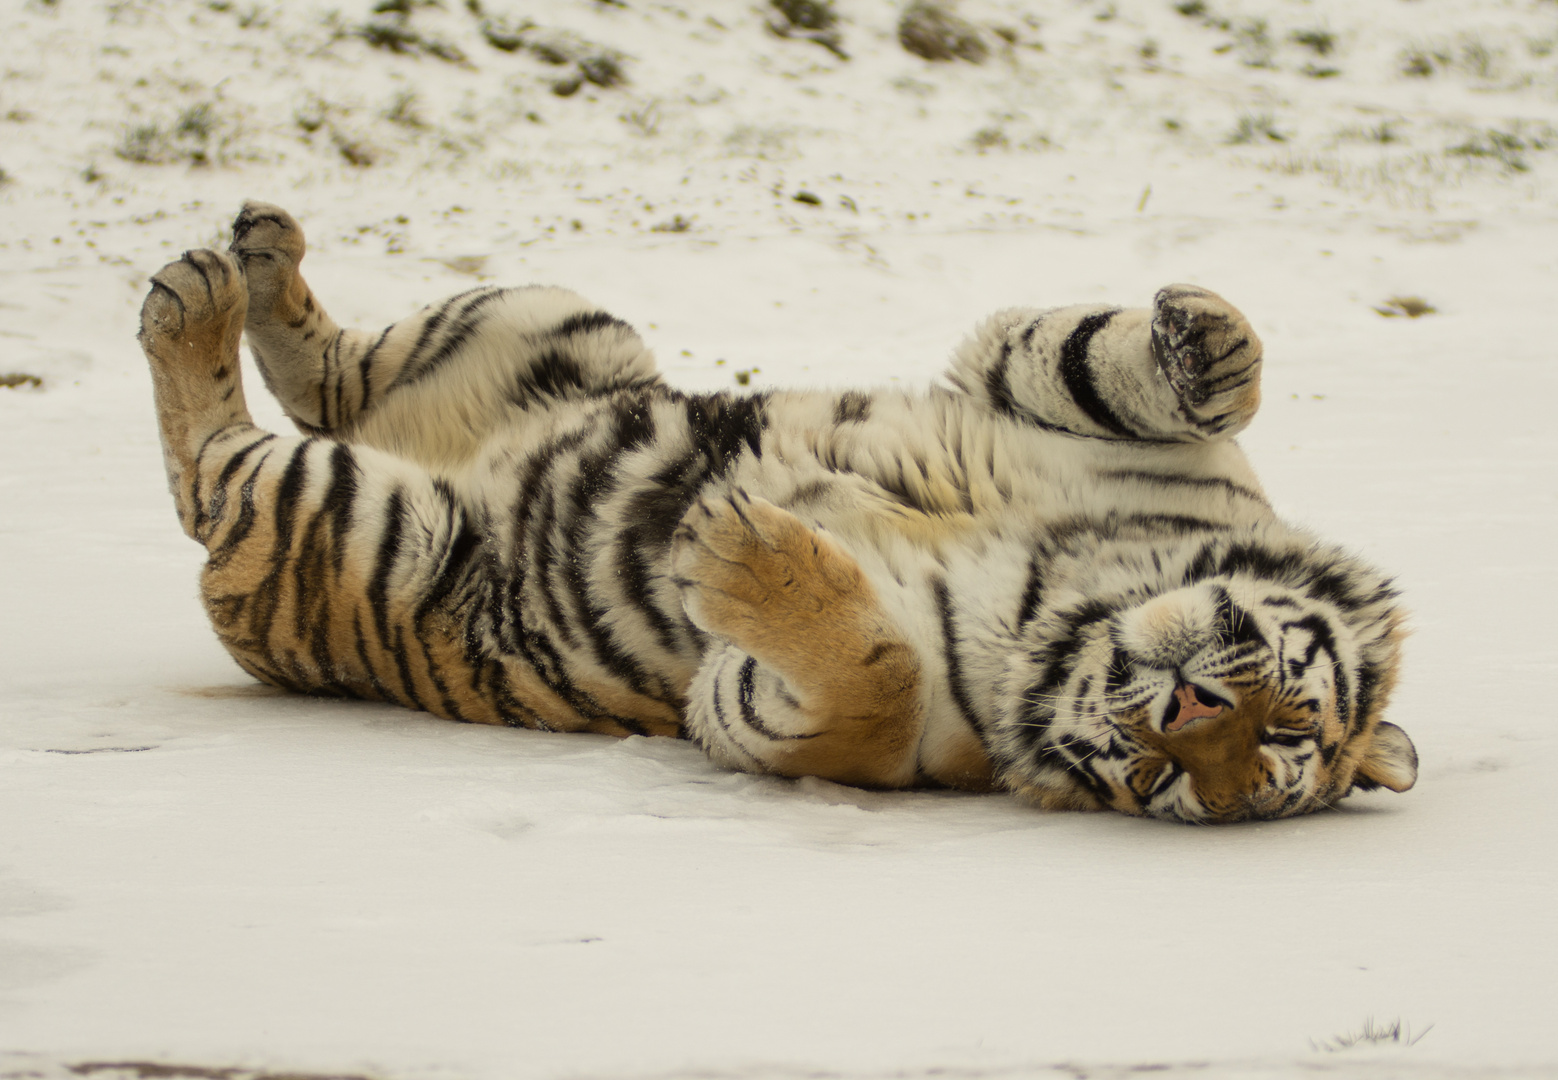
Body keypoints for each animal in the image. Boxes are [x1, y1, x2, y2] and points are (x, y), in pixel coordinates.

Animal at [140, 202, 1420, 822]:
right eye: (1289, 718)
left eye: (1176, 780)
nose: (1186, 707)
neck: (1063, 590)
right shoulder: (1087, 420)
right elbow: (1141, 371)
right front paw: (1201, 334)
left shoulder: (764, 710)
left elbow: (878, 673)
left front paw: (740, 544)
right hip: (549, 317)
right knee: (332, 375)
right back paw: (251, 254)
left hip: (362, 520)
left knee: (214, 469)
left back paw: (195, 295)